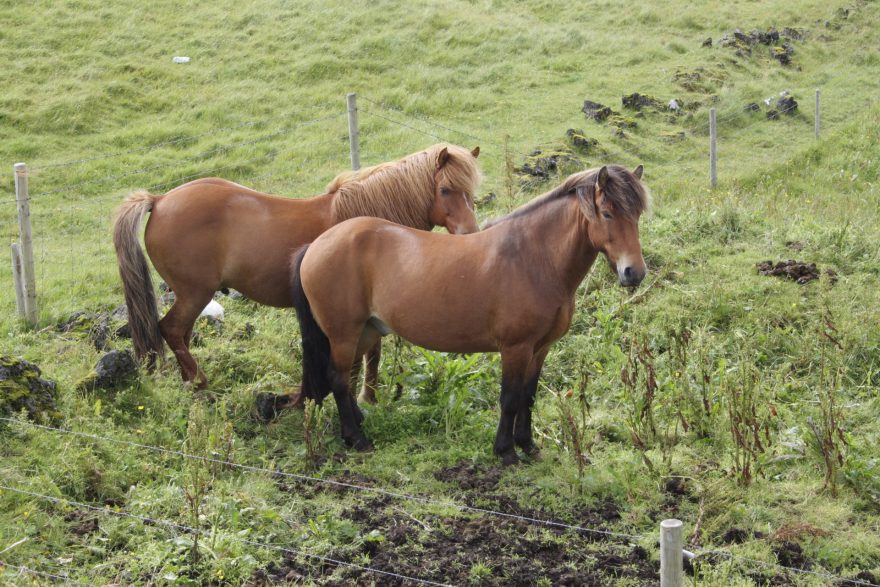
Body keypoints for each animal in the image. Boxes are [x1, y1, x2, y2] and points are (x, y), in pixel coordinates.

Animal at [115, 142, 482, 390]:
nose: (470, 234)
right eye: (445, 189)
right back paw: (200, 383)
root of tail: (160, 200)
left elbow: (372, 354)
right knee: (171, 330)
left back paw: (189, 383)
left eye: (472, 190)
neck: (372, 224)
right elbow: (366, 354)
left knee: (179, 334)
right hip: (194, 293)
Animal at [292, 164, 648, 464]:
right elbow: (510, 397)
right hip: (343, 334)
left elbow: (529, 396)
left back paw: (357, 425)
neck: (533, 258)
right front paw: (506, 452)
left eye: (637, 216)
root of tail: (315, 245)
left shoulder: (540, 348)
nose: (634, 273)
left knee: (347, 379)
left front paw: (528, 445)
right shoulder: (516, 348)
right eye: (607, 213)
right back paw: (357, 439)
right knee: (338, 379)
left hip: (365, 331)